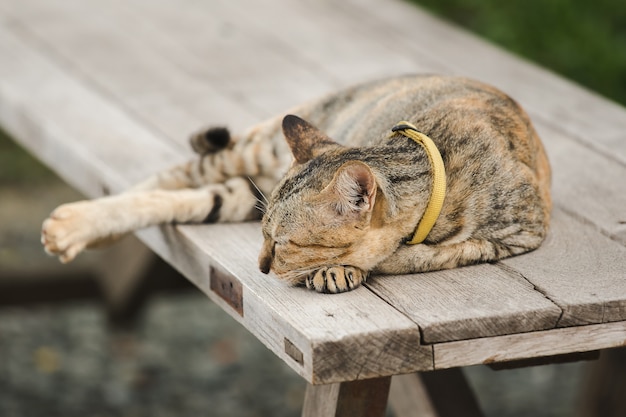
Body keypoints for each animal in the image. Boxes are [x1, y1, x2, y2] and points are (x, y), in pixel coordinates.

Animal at [42, 74, 552, 292]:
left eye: (283, 243)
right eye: (266, 239)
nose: (261, 267)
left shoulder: (519, 233)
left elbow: (424, 254)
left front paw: (349, 267)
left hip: (245, 188)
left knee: (187, 197)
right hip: (255, 149)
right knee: (167, 177)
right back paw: (77, 224)